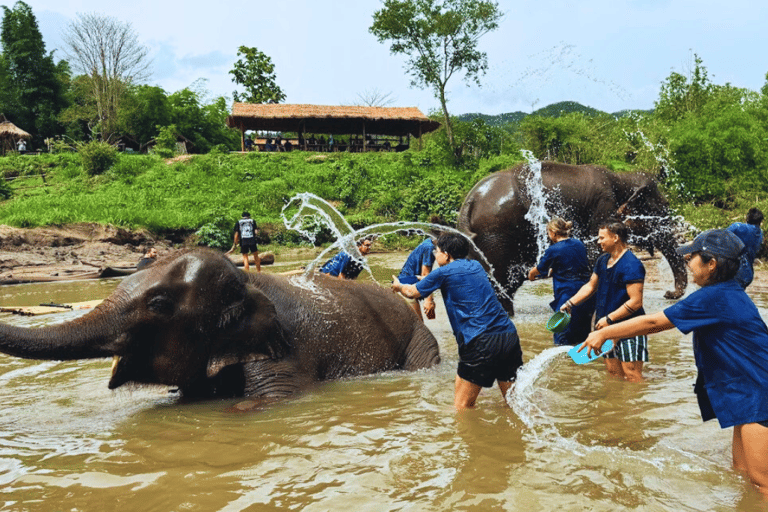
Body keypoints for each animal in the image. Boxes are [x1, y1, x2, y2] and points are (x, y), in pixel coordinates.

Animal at [460, 160, 688, 314]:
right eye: (661, 210)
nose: (668, 294)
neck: (622, 178)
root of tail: (470, 200)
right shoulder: (603, 210)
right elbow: (594, 257)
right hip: (497, 235)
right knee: (503, 280)